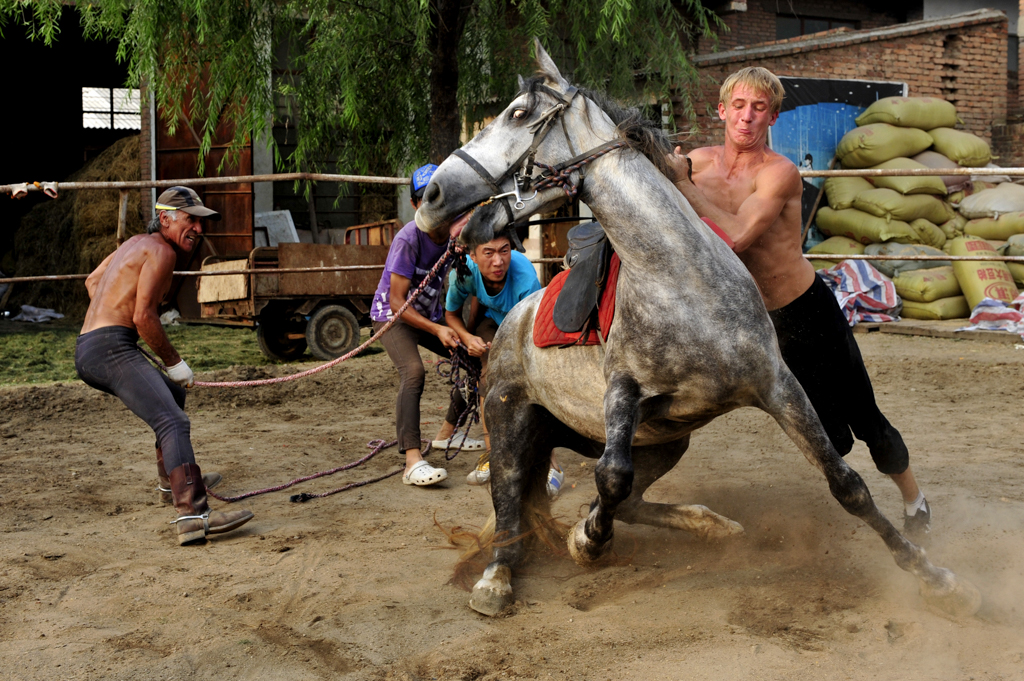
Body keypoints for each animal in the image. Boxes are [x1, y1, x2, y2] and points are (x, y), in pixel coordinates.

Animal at [413, 41, 974, 614]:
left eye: (518, 113)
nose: (431, 197)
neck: (681, 281)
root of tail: (510, 324)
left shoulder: (777, 387)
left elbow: (847, 483)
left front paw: (935, 577)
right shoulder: (623, 391)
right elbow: (610, 477)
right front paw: (589, 542)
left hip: (665, 440)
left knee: (630, 500)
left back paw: (713, 525)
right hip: (509, 419)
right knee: (510, 510)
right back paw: (497, 579)